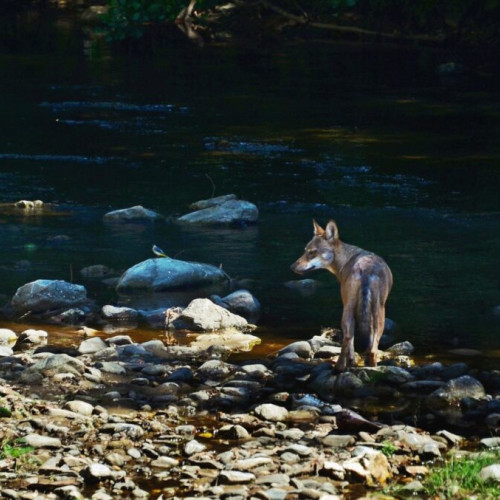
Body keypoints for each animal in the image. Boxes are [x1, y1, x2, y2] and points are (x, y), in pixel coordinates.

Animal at [292, 220, 392, 372]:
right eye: (305, 251)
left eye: (312, 252)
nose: (291, 267)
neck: (346, 259)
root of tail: (367, 268)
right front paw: (354, 363)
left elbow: (349, 342)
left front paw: (350, 363)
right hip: (379, 312)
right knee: (373, 349)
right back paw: (372, 368)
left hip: (347, 310)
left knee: (347, 338)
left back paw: (338, 368)